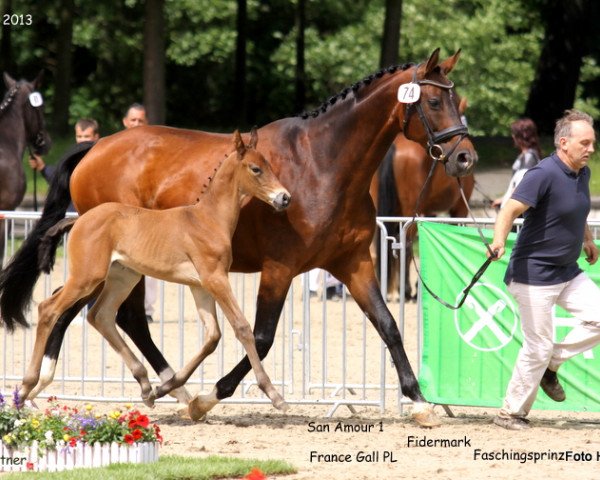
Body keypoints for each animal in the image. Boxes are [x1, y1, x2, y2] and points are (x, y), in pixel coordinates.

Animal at [18, 129, 290, 418]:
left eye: (270, 165)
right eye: (256, 168)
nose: (285, 198)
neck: (207, 219)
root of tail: (78, 219)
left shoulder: (200, 286)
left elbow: (212, 336)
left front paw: (168, 389)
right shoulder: (216, 279)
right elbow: (242, 328)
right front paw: (274, 395)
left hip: (122, 277)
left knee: (101, 316)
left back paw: (146, 386)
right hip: (87, 277)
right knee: (49, 309)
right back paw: (25, 388)